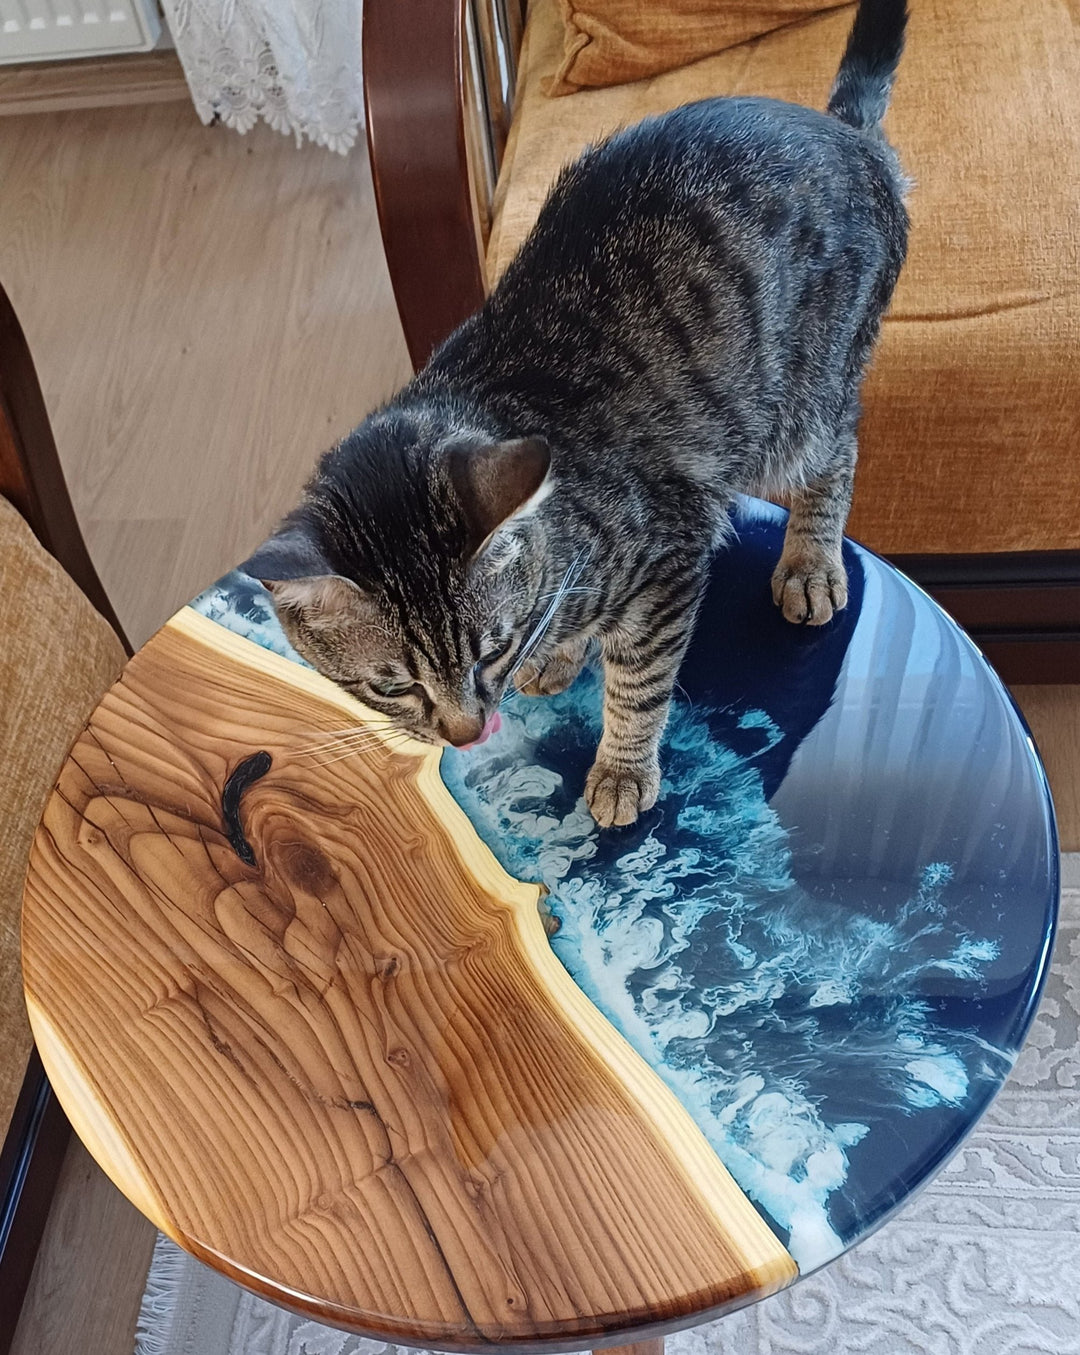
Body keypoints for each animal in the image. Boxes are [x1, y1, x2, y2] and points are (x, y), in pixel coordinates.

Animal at [242, 0, 899, 823]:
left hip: (800, 404)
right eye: (391, 684)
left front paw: (621, 766)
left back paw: (811, 562)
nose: (466, 732)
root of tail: (845, 133)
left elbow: (640, 680)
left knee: (841, 450)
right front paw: (558, 652)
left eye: (487, 648)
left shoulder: (671, 552)